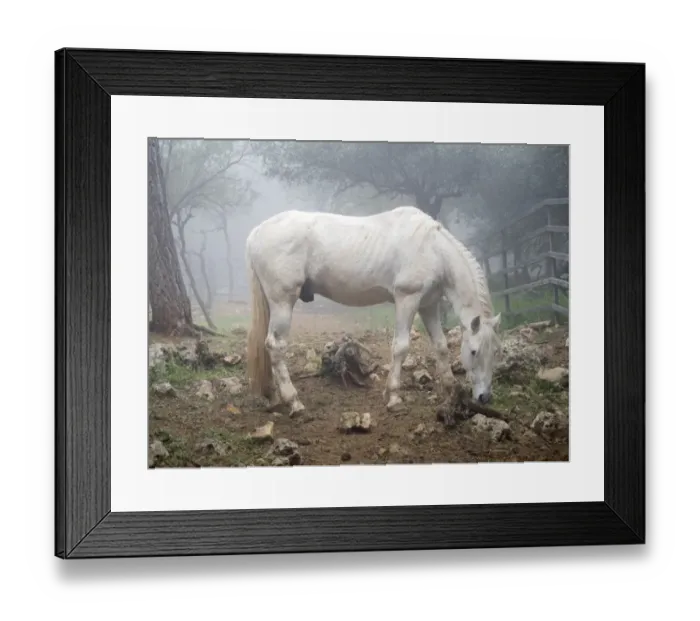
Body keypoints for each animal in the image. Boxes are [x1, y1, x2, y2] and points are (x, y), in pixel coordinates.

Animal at [244, 205, 502, 417]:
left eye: (495, 352)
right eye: (474, 351)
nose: (484, 397)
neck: (433, 249)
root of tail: (256, 232)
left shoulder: (428, 305)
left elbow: (440, 346)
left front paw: (451, 391)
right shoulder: (407, 299)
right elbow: (401, 348)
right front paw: (394, 397)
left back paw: (274, 397)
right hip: (282, 301)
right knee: (275, 346)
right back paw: (294, 402)